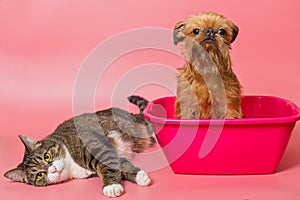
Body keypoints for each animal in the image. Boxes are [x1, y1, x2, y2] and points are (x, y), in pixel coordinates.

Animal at [4, 96, 155, 198]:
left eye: (47, 156)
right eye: (40, 174)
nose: (53, 169)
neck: (71, 165)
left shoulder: (98, 147)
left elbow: (107, 164)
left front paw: (111, 186)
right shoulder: (112, 154)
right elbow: (119, 164)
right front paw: (139, 177)